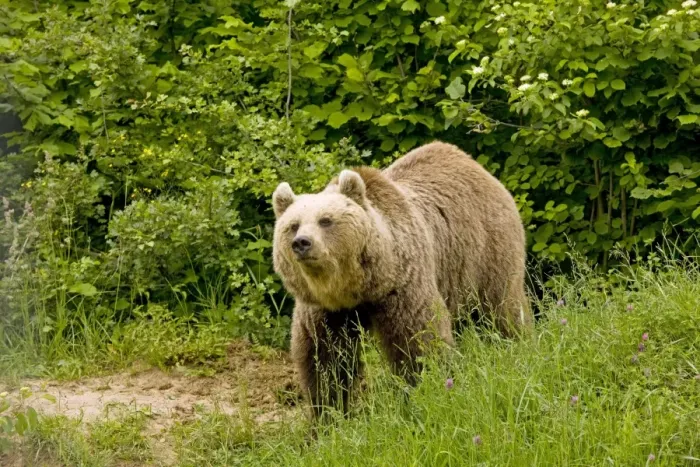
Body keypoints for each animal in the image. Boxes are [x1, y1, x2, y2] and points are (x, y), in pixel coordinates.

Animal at [271, 141, 532, 421]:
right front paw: (328, 415)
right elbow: (324, 357)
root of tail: (474, 165)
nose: (302, 243)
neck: (357, 288)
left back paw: (517, 345)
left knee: (502, 307)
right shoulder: (325, 311)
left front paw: (425, 394)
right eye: (293, 225)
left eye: (326, 220)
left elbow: (418, 341)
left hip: (487, 249)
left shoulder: (403, 285)